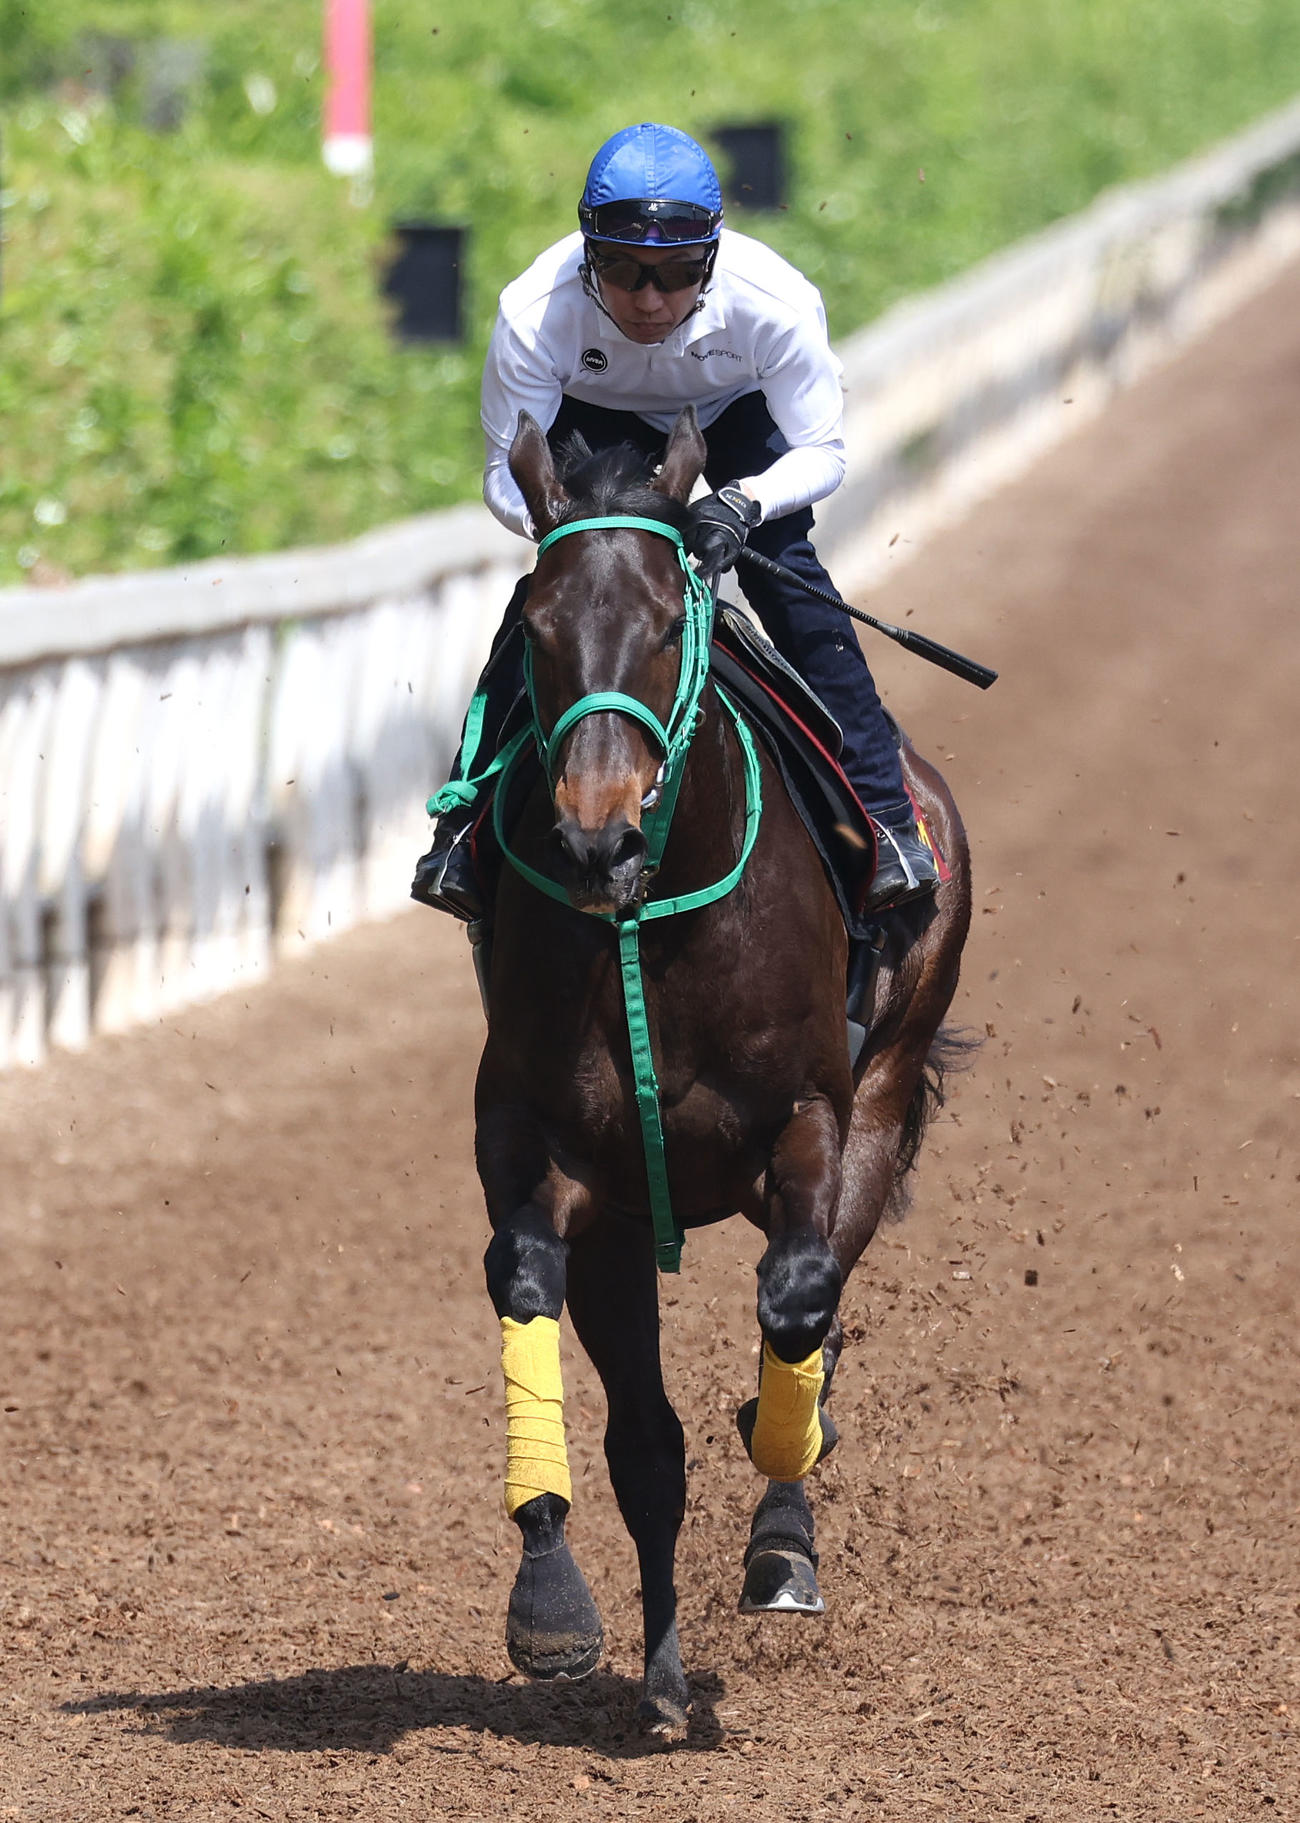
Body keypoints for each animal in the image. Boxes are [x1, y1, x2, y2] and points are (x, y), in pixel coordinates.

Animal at [468, 404, 971, 1736]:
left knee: (817, 1293)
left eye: (662, 621)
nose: (595, 835)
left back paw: (784, 1518)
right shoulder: (568, 1164)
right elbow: (613, 1405)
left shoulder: (808, 1118)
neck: (649, 920)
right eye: (535, 628)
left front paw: (786, 1474)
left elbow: (794, 1304)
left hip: (888, 1083)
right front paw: (568, 1616)